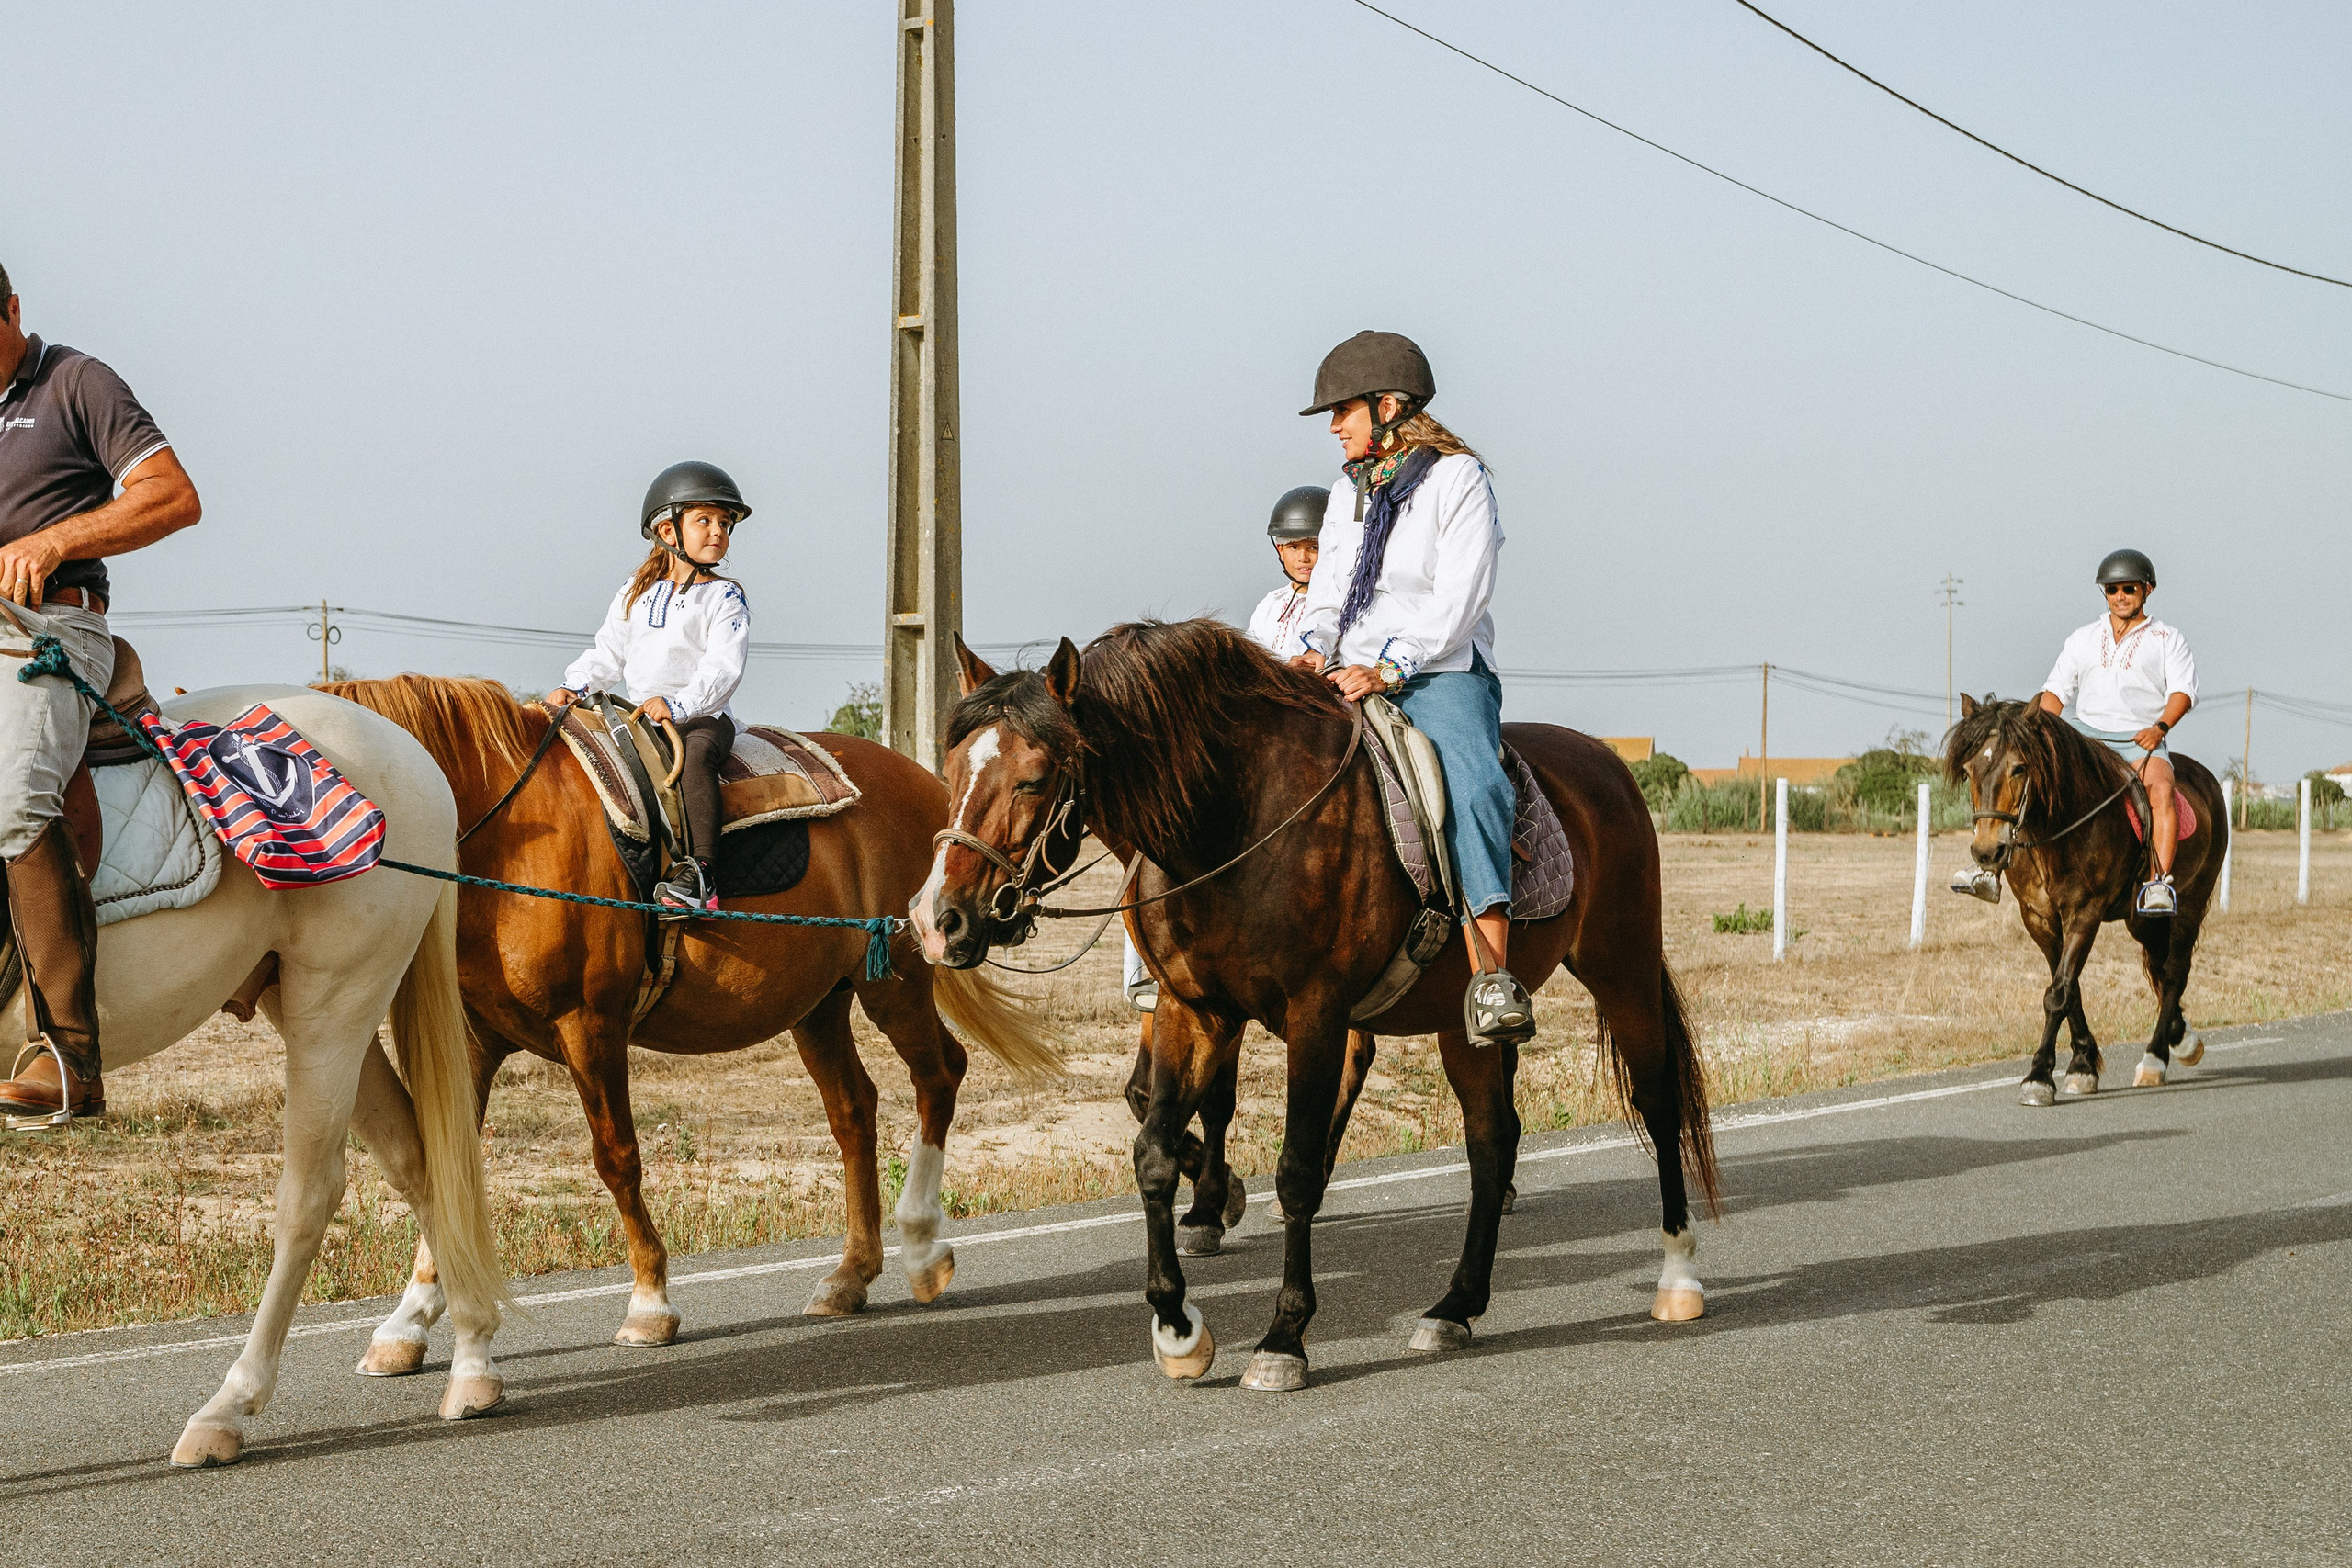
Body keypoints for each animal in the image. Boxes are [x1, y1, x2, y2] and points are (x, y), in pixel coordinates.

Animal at [1, 685, 507, 1467]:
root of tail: (415, 758)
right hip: (316, 1005)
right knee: (416, 1160)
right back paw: (473, 1361)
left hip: (335, 1003)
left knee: (310, 1194)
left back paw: (228, 1408)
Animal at [320, 676, 1059, 1353]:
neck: (511, 834)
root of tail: (934, 788)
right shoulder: (474, 1041)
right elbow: (442, 1163)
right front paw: (407, 1320)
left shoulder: (591, 1028)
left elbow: (617, 1158)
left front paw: (650, 1301)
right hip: (819, 1003)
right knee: (854, 1111)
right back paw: (850, 1275)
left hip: (898, 978)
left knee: (939, 1073)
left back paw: (923, 1249)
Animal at [913, 620, 1718, 1391]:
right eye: (949, 772)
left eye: (1033, 779)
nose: (937, 920)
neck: (1233, 821)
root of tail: (1606, 763)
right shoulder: (1191, 1011)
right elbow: (1153, 1153)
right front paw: (1178, 1328)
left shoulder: (1316, 1016)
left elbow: (1297, 1171)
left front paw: (1282, 1339)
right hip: (1463, 1027)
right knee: (1492, 1144)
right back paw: (1455, 1306)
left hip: (1622, 965)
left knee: (1656, 1101)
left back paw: (1678, 1274)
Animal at [1946, 693, 2227, 1105]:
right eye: (1968, 770)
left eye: (2018, 768)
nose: (1987, 852)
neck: (2059, 829)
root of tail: (2207, 781)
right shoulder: (2039, 918)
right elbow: (2069, 988)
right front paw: (2082, 1065)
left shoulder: (2084, 913)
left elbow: (2059, 992)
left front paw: (2039, 1077)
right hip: (2139, 919)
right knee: (2161, 968)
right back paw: (2181, 1037)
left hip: (2191, 903)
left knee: (2175, 971)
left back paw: (2155, 1059)